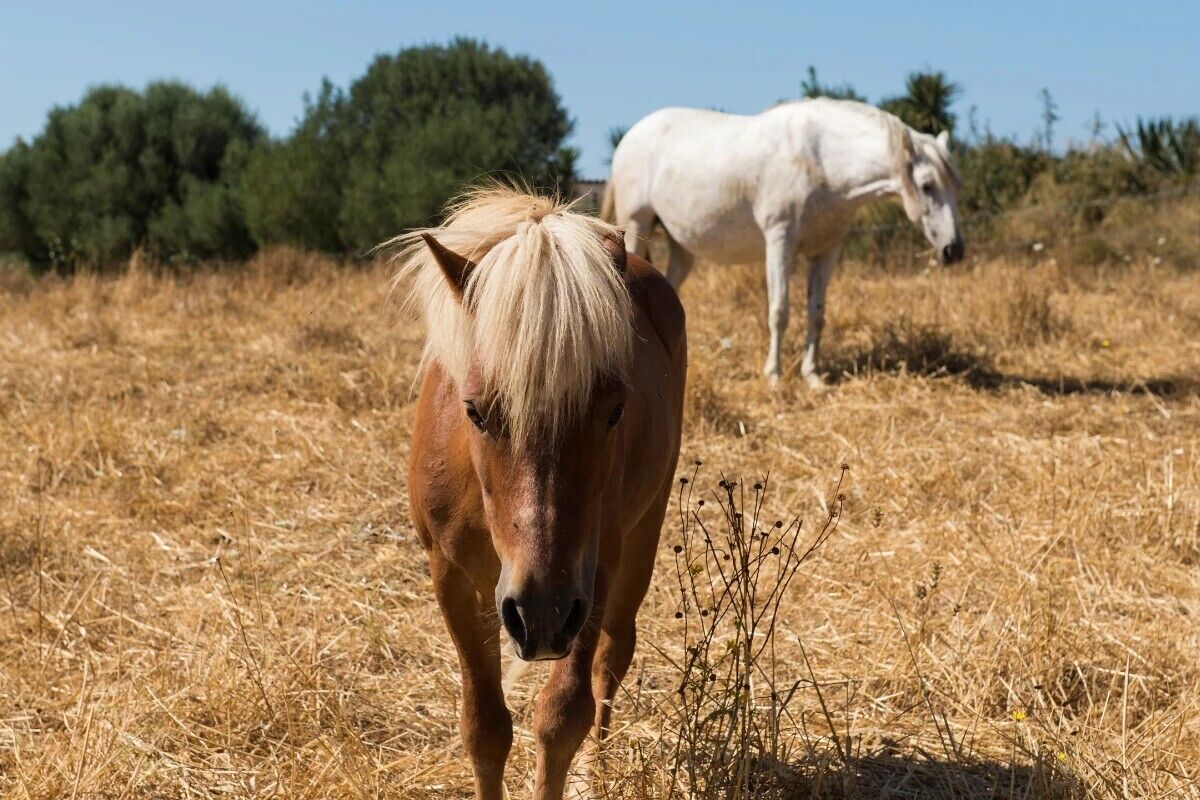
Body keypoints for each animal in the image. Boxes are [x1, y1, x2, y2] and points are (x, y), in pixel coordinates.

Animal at [391, 187, 687, 800]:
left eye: (614, 410)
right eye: (475, 411)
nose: (542, 613)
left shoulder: (592, 572)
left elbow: (561, 717)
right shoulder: (451, 575)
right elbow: (483, 727)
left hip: (640, 539)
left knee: (612, 657)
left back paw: (601, 765)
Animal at [601, 97, 964, 387]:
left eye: (955, 185)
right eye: (928, 185)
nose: (954, 250)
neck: (821, 161)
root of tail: (629, 137)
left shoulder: (826, 251)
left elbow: (816, 313)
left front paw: (812, 376)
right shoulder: (780, 241)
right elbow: (780, 310)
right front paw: (774, 376)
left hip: (682, 247)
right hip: (637, 224)